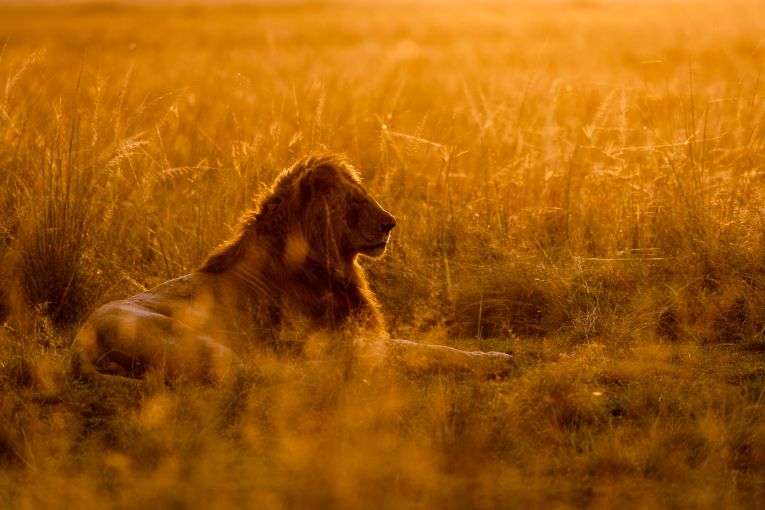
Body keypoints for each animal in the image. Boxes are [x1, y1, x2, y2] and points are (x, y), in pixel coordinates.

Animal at [71, 151, 510, 382]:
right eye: (354, 200)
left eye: (364, 193)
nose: (391, 223)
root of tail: (79, 346)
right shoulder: (348, 343)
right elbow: (429, 349)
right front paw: (496, 359)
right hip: (207, 345)